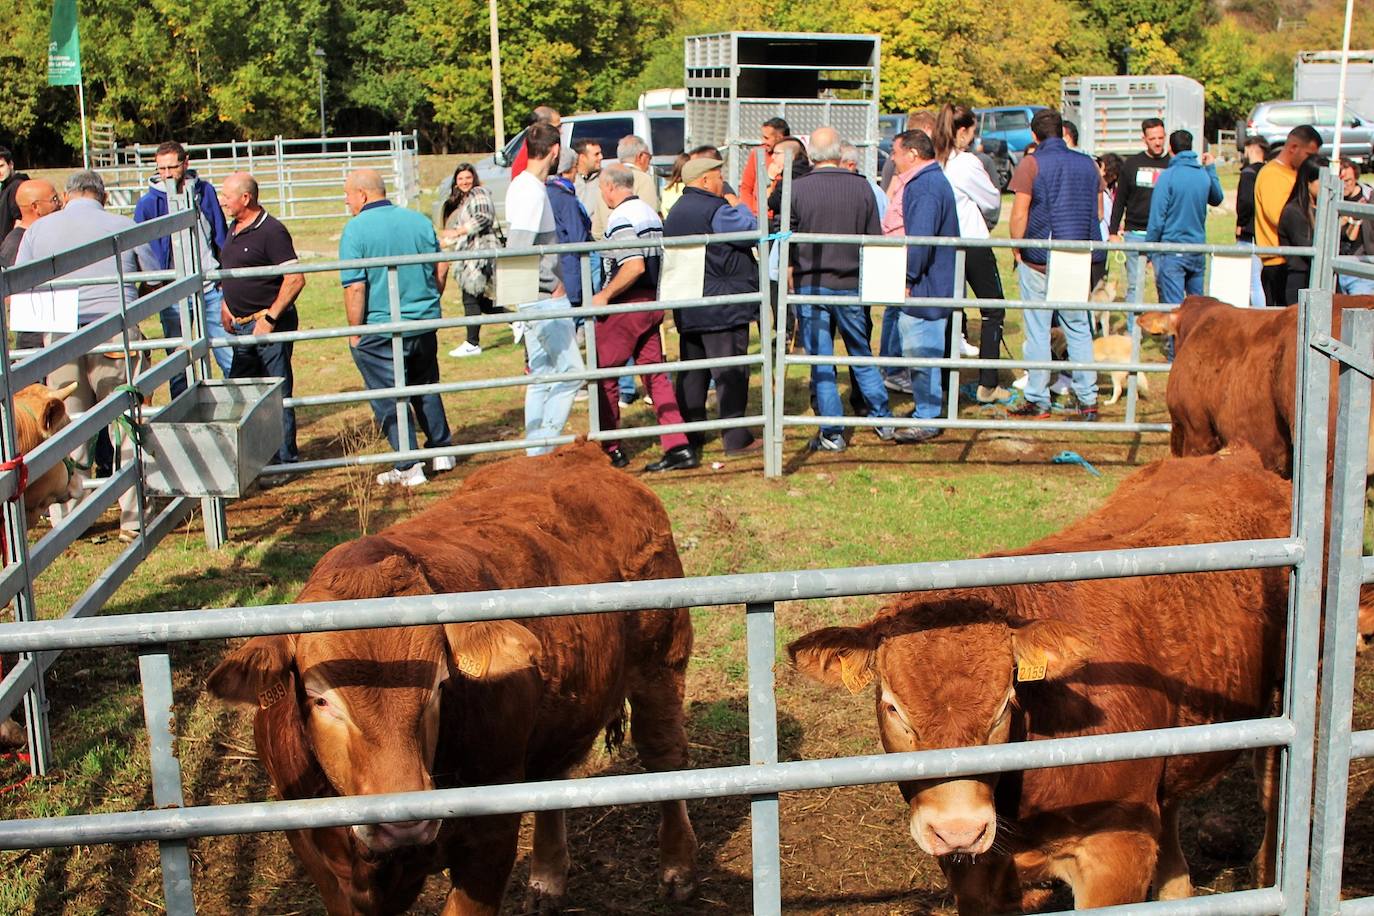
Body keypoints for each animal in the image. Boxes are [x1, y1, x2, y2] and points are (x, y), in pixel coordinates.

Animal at [206, 439, 697, 911]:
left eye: (440, 685)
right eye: (319, 698)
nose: (402, 825)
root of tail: (580, 452)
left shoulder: (491, 838)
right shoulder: (319, 862)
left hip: (661, 669)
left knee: (664, 757)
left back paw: (677, 867)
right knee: (552, 776)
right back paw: (547, 878)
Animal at [791, 450, 1291, 911]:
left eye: (1004, 705)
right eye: (894, 707)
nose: (958, 829)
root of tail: (1233, 456)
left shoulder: (1116, 854)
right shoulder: (974, 873)